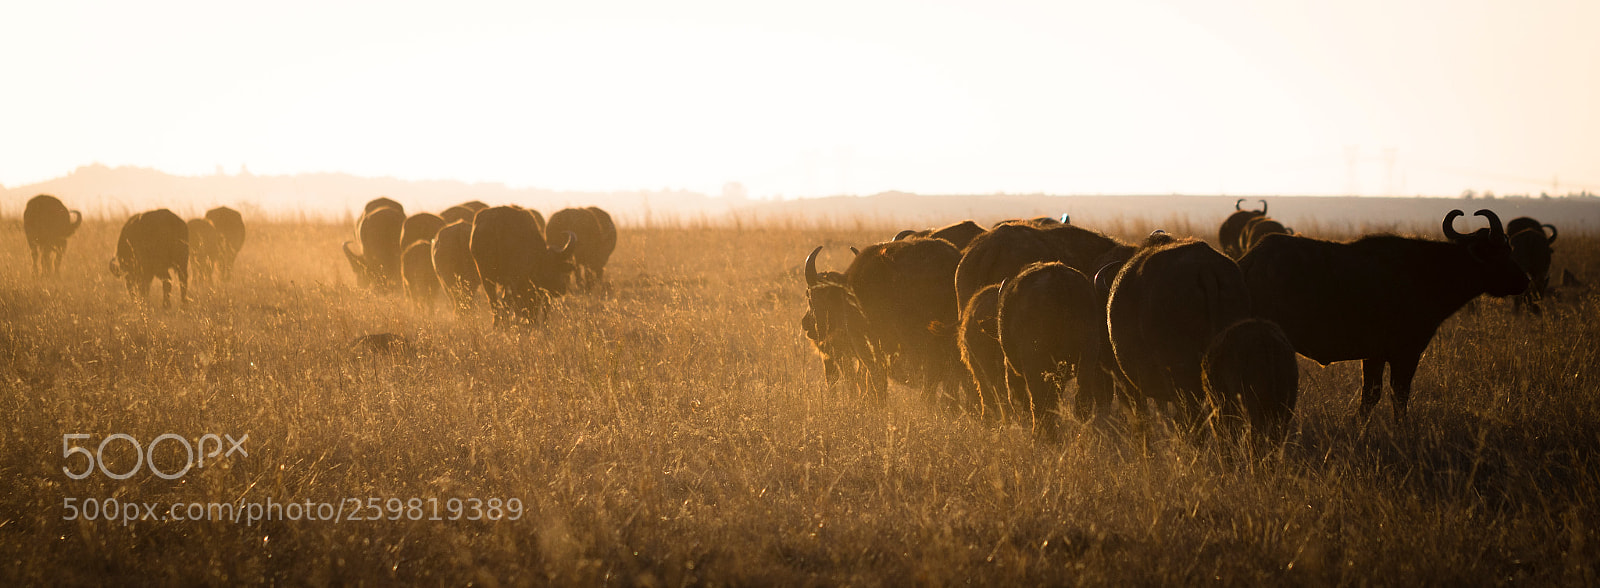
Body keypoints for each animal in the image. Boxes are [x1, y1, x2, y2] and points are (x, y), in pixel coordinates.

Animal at [1238, 209, 1528, 424]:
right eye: (1501, 251)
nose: (1524, 280)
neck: (1428, 272)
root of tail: (1249, 261)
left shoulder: (1374, 355)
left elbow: (1370, 396)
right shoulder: (1407, 353)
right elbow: (1399, 396)